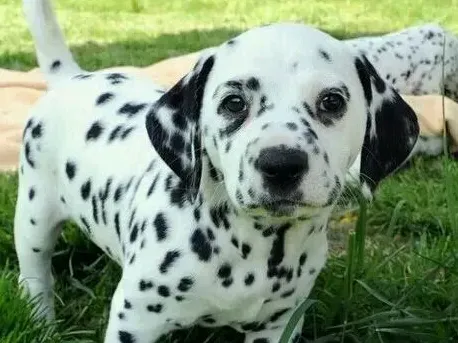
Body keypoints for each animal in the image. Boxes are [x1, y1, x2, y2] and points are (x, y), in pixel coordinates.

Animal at [15, 0, 418, 343]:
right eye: (234, 103)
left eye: (332, 101)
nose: (281, 164)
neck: (257, 247)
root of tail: (72, 78)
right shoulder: (135, 320)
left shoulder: (279, 324)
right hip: (33, 218)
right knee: (35, 275)